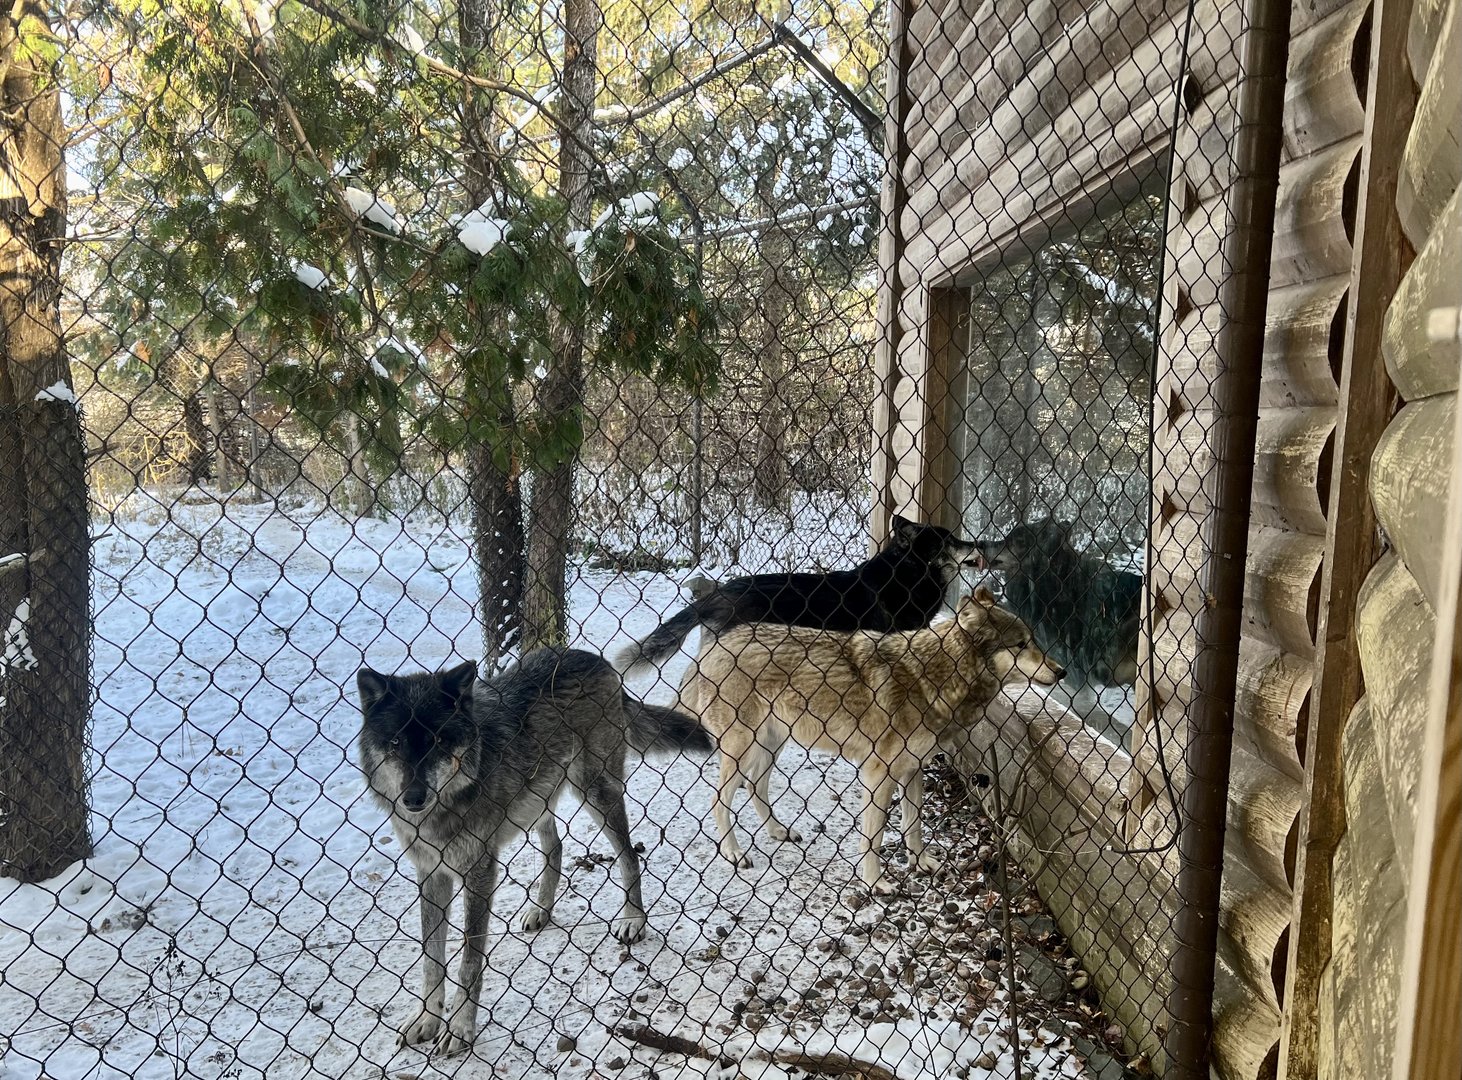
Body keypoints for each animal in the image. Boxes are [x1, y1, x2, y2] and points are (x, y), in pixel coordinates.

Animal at [356, 648, 712, 1057]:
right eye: (396, 742)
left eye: (439, 740)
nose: (413, 798)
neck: (441, 810)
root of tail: (597, 659)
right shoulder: (431, 874)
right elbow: (432, 959)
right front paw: (427, 1019)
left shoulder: (479, 874)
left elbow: (468, 962)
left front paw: (460, 1027)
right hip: (539, 799)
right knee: (555, 848)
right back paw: (541, 910)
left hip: (593, 791)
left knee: (628, 855)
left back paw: (633, 920)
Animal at [679, 588, 1063, 894]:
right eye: (1021, 645)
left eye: (1033, 640)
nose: (1061, 672)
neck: (935, 678)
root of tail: (711, 648)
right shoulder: (878, 775)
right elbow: (873, 838)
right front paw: (875, 882)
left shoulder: (913, 770)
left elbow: (913, 825)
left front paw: (922, 863)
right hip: (742, 749)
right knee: (719, 800)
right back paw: (734, 853)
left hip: (770, 746)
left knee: (756, 786)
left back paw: (778, 831)